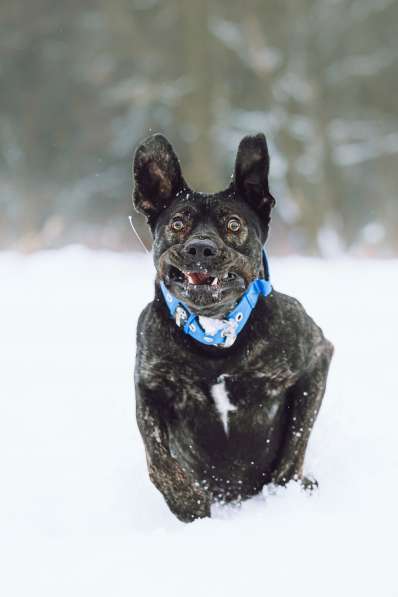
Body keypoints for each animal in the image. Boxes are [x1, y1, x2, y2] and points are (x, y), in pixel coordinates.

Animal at [133, 133, 332, 520]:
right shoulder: (149, 385)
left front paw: (283, 491)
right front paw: (187, 502)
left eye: (234, 225)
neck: (215, 334)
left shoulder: (316, 357)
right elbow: (157, 457)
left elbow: (297, 439)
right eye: (177, 224)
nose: (200, 248)